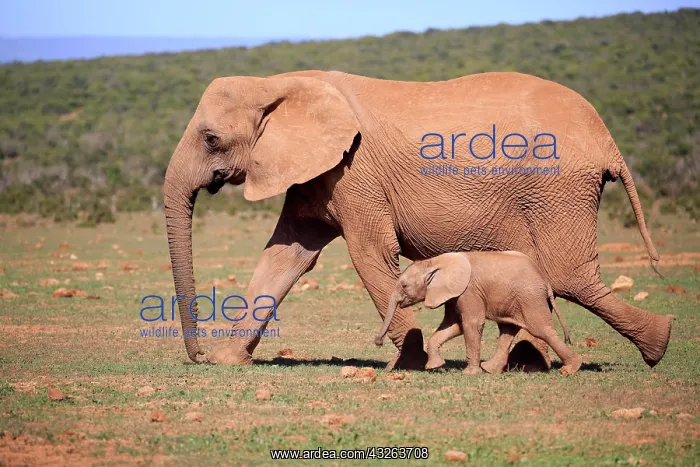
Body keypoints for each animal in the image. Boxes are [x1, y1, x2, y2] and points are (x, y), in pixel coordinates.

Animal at [374, 252, 581, 376]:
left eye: (404, 286)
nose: (378, 342)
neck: (434, 262)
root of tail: (545, 280)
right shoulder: (454, 294)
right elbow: (454, 325)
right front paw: (434, 366)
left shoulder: (469, 291)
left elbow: (470, 324)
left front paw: (469, 373)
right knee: (507, 330)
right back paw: (490, 370)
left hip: (530, 298)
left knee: (541, 329)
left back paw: (571, 369)